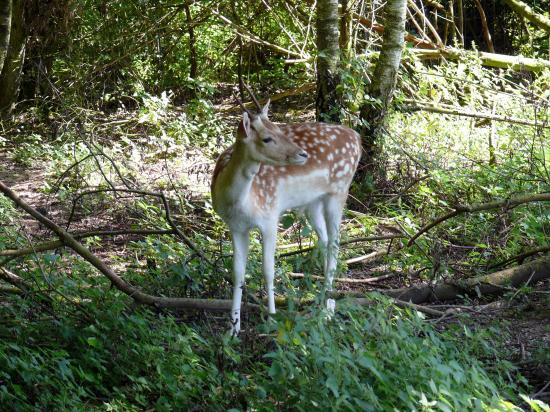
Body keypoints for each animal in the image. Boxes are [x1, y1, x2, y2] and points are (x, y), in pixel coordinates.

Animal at [211, 87, 362, 334]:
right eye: (267, 137)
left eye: (279, 128)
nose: (302, 154)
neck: (239, 202)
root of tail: (357, 138)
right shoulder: (235, 227)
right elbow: (237, 273)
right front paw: (233, 328)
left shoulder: (270, 216)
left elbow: (268, 269)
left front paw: (272, 318)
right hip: (313, 203)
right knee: (324, 241)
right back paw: (324, 299)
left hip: (339, 191)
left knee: (335, 243)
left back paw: (326, 308)